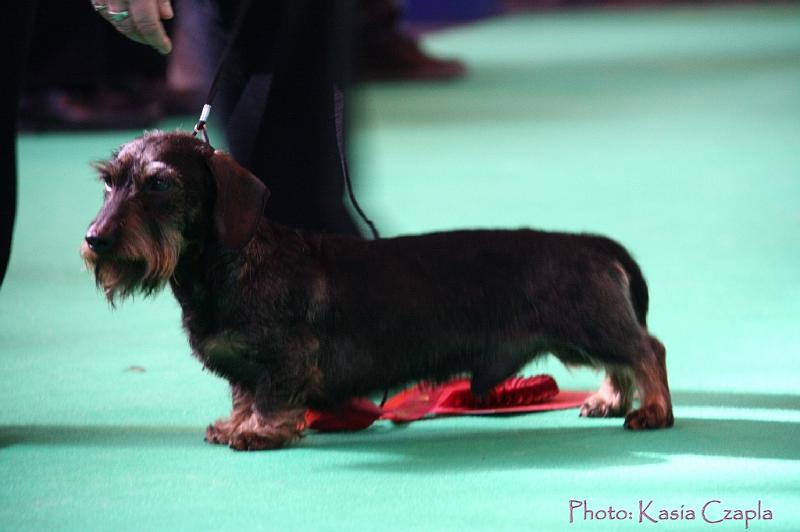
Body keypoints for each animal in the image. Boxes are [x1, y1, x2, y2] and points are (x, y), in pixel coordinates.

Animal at [81, 131, 672, 450]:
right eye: (110, 182)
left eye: (160, 183)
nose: (95, 240)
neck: (227, 266)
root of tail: (592, 245)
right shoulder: (242, 366)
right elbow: (243, 394)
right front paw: (234, 425)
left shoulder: (282, 359)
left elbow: (269, 398)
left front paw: (260, 432)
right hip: (580, 337)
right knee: (624, 360)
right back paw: (610, 401)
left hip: (588, 328)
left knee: (648, 350)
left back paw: (652, 411)